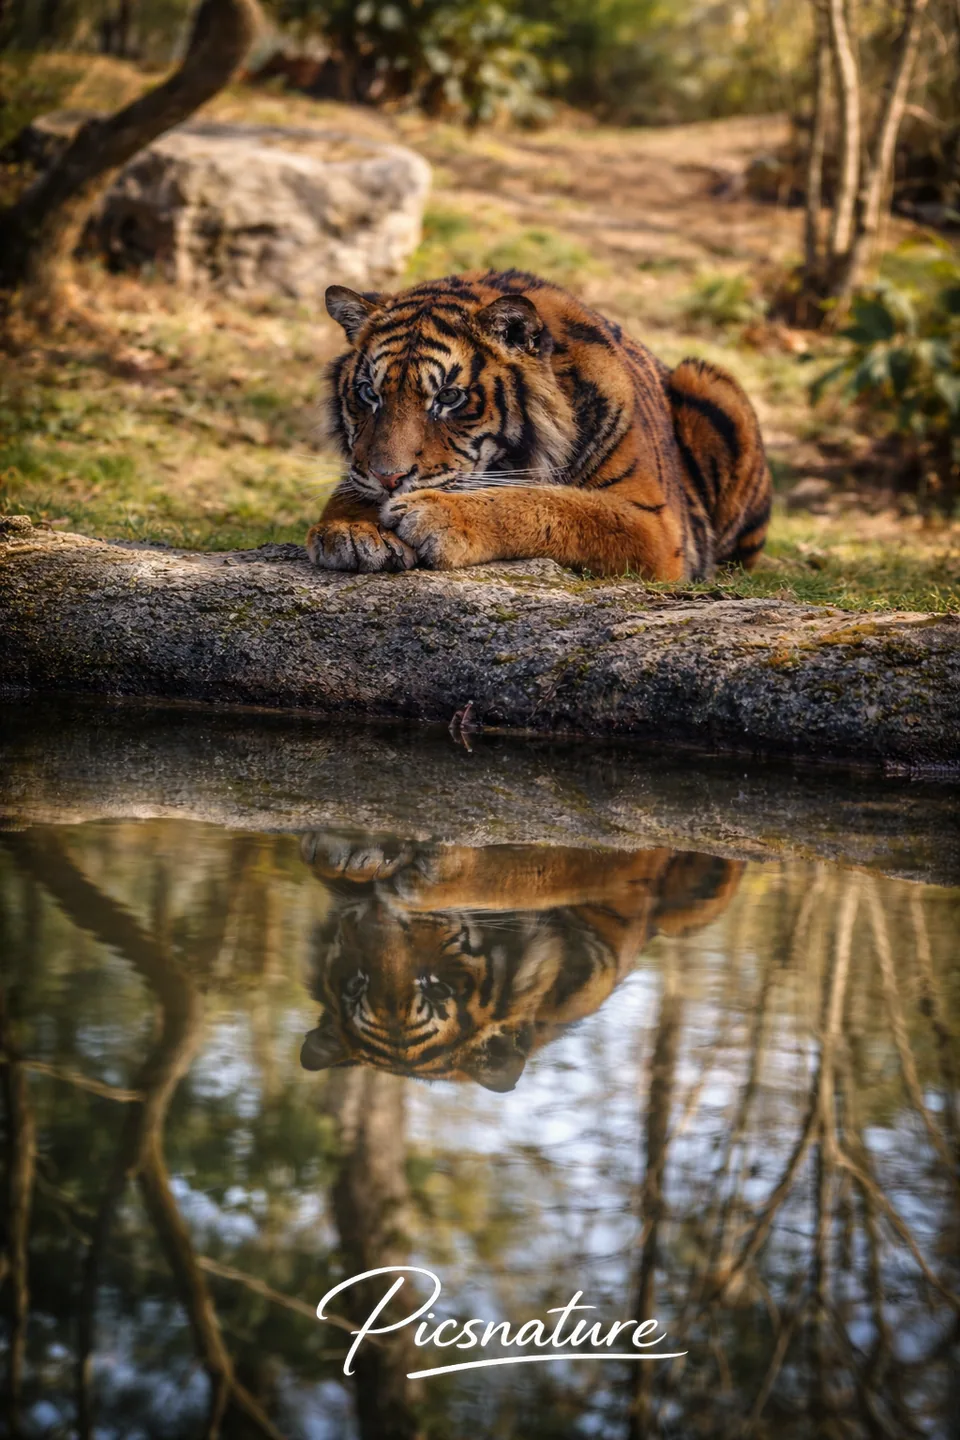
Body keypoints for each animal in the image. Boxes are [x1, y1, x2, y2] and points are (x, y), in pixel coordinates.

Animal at [306, 268, 771, 580]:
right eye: (369, 394)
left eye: (449, 397)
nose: (389, 479)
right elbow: (349, 485)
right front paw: (352, 530)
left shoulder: (654, 525)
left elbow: (557, 504)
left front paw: (436, 516)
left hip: (708, 379)